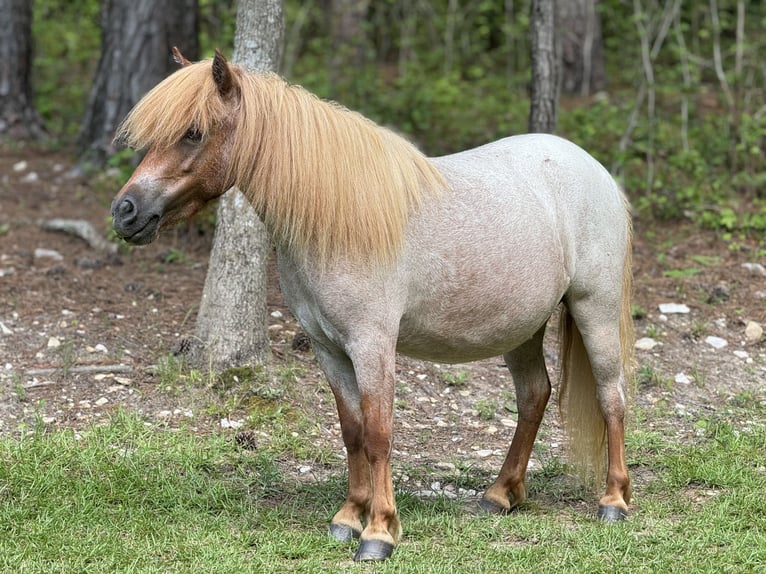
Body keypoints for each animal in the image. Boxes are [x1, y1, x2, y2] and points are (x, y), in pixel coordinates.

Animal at [109, 49, 636, 564]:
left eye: (193, 133)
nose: (124, 211)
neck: (333, 219)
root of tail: (593, 169)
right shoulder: (328, 349)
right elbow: (353, 431)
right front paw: (348, 517)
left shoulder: (372, 345)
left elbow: (379, 434)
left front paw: (380, 532)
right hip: (521, 327)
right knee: (533, 396)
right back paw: (501, 494)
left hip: (594, 309)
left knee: (611, 397)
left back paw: (613, 501)